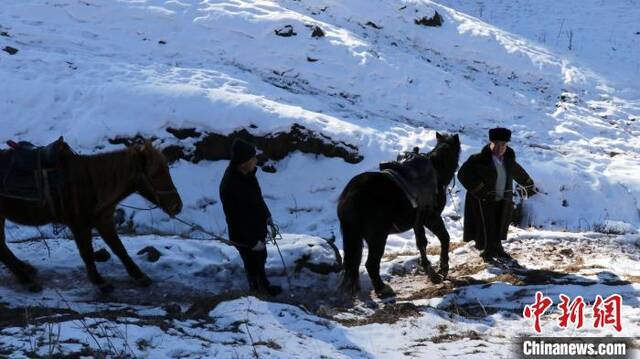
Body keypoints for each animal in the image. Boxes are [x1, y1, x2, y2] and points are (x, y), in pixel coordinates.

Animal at [0, 141, 182, 292]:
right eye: (156, 173)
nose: (177, 206)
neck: (91, 184)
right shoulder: (79, 226)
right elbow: (87, 253)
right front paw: (99, 282)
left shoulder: (104, 221)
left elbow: (119, 249)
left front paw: (139, 275)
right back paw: (26, 280)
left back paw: (24, 268)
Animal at [336, 132, 460, 298]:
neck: (436, 171)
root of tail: (351, 194)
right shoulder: (431, 218)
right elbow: (444, 238)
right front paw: (443, 268)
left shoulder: (417, 222)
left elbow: (421, 243)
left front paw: (429, 270)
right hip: (377, 237)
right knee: (371, 264)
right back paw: (382, 288)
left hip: (354, 236)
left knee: (353, 264)